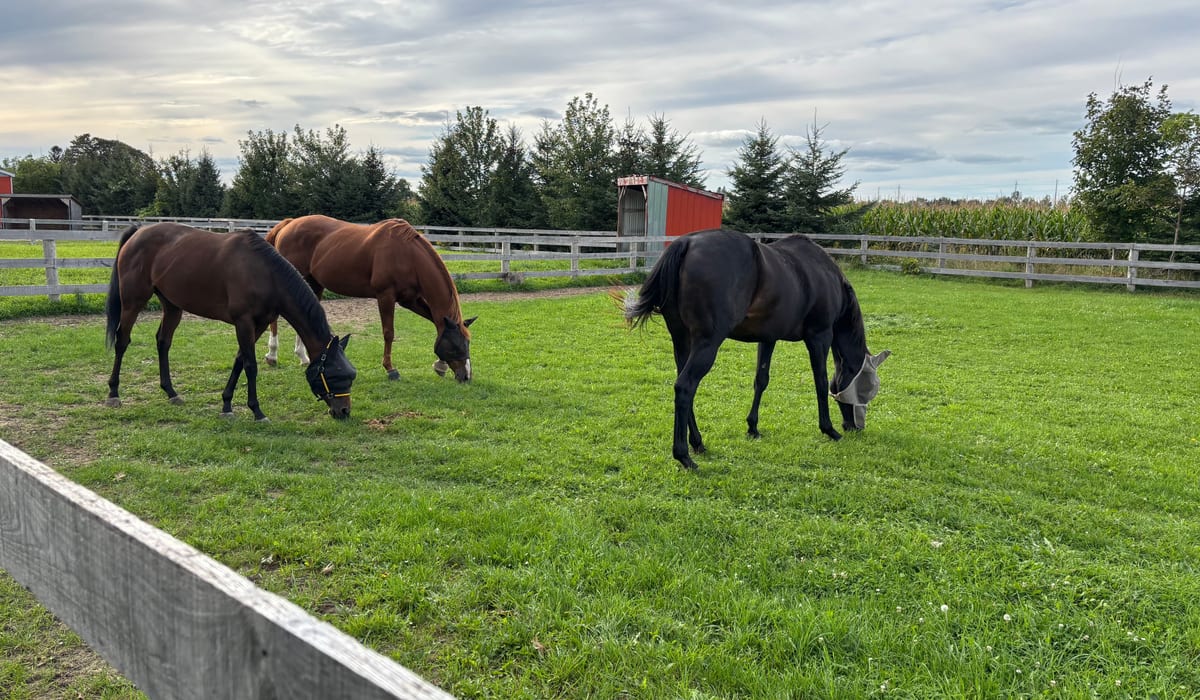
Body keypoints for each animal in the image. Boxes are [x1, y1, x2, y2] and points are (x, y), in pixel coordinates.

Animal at [104, 223, 357, 421]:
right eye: (334, 375)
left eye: (350, 375)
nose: (344, 411)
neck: (265, 273)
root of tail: (138, 232)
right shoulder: (243, 322)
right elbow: (250, 365)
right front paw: (257, 411)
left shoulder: (259, 324)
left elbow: (239, 360)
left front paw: (226, 405)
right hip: (133, 302)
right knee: (122, 341)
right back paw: (113, 394)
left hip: (172, 306)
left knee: (163, 342)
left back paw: (171, 392)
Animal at [264, 215, 475, 382]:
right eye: (456, 345)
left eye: (468, 343)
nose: (466, 376)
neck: (407, 254)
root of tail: (289, 224)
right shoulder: (385, 296)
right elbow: (389, 333)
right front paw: (390, 369)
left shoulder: (410, 300)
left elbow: (436, 322)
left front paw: (440, 365)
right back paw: (272, 355)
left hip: (312, 283)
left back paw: (303, 357)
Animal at [625, 228, 890, 470]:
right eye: (869, 388)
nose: (855, 426)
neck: (825, 274)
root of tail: (687, 243)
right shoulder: (820, 336)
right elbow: (821, 382)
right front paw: (829, 429)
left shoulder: (768, 338)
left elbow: (761, 380)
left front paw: (752, 427)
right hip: (707, 343)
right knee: (685, 387)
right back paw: (683, 455)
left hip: (681, 341)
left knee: (683, 383)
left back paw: (697, 443)